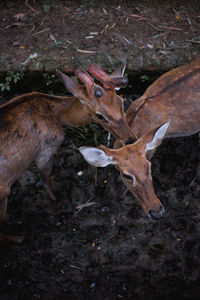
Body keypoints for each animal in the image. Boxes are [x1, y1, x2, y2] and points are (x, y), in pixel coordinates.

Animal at [0, 64, 134, 243]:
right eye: (100, 115)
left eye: (121, 100)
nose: (131, 138)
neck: (57, 116)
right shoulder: (47, 147)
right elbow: (45, 177)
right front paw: (55, 198)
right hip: (3, 191)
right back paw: (18, 237)